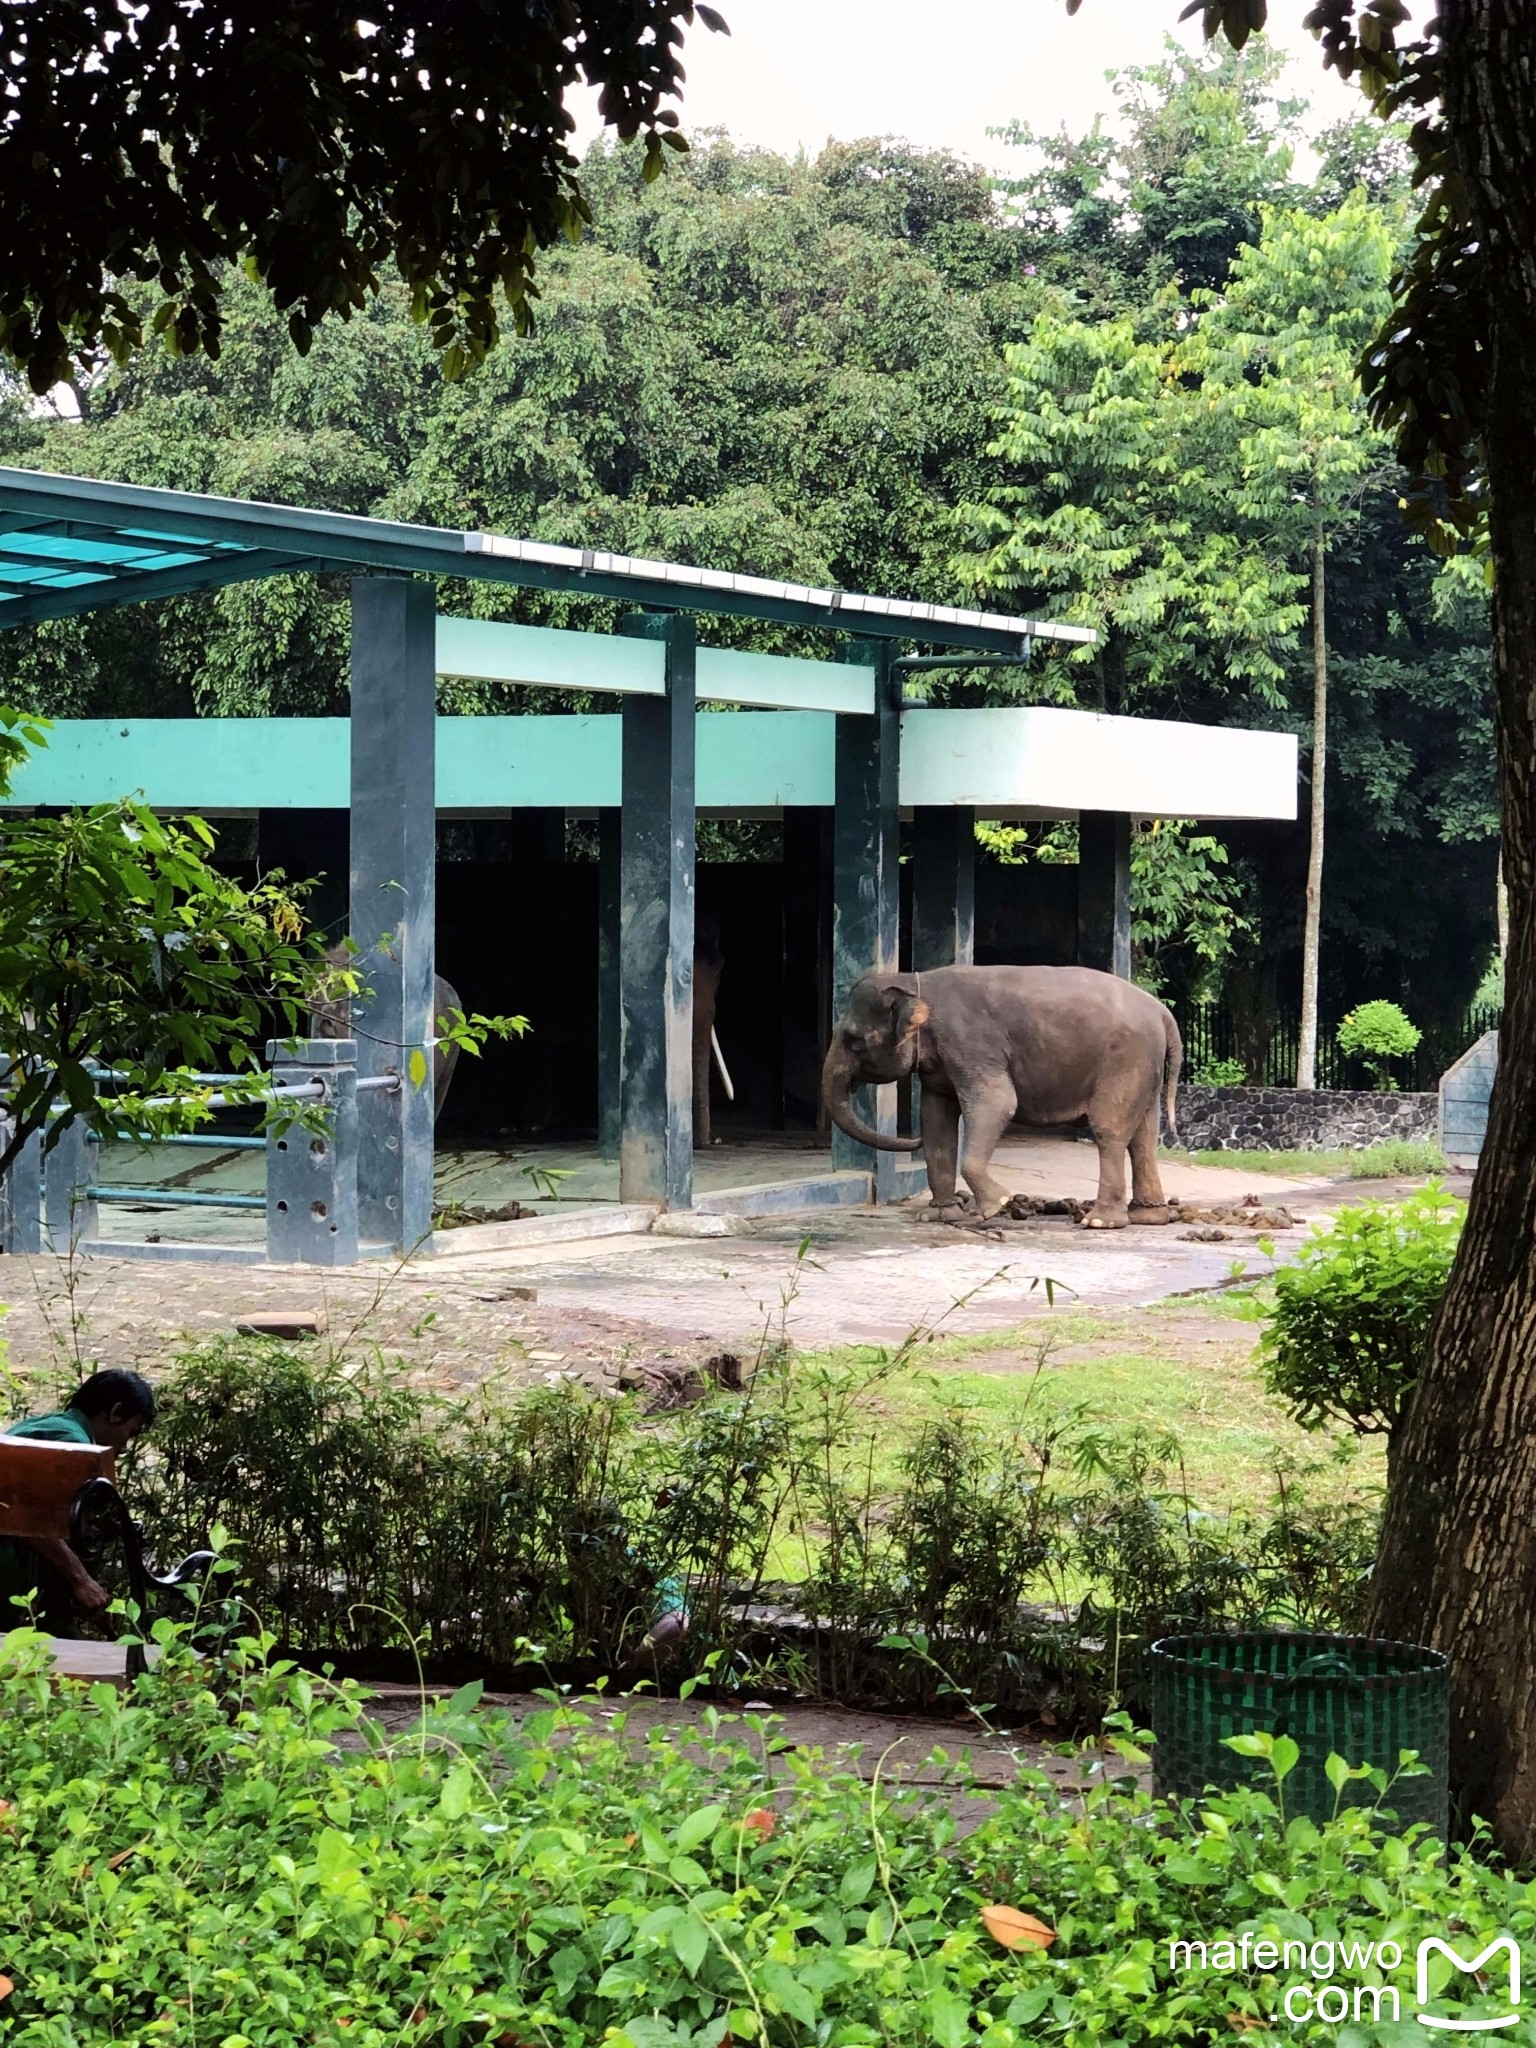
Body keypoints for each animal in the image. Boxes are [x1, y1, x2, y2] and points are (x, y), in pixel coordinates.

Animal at [823, 962, 1187, 1228]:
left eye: (853, 1040)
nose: (909, 1140)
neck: (915, 981)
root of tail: (1162, 1013)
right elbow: (935, 1119)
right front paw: (937, 1216)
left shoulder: (969, 1042)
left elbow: (997, 1103)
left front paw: (992, 1207)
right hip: (1145, 1066)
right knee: (1143, 1137)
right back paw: (1147, 1217)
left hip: (1125, 1059)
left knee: (1109, 1130)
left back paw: (1100, 1222)